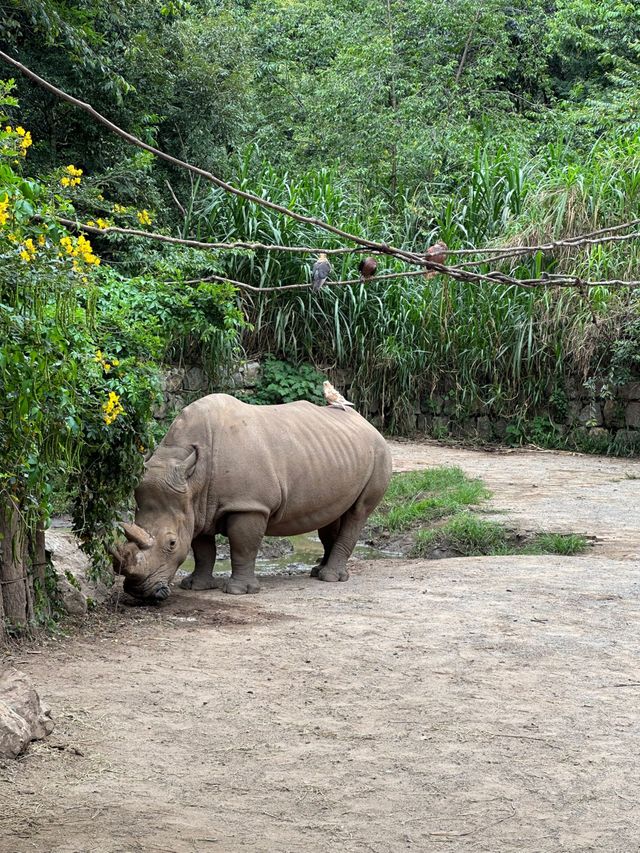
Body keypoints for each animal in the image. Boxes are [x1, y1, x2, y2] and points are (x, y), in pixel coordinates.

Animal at [115, 394, 392, 600]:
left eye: (171, 543)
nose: (138, 592)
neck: (193, 478)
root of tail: (369, 424)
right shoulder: (197, 506)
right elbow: (202, 548)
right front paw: (196, 586)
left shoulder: (248, 505)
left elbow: (243, 545)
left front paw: (239, 591)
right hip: (337, 454)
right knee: (333, 515)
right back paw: (318, 571)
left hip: (379, 452)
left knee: (357, 513)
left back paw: (330, 578)